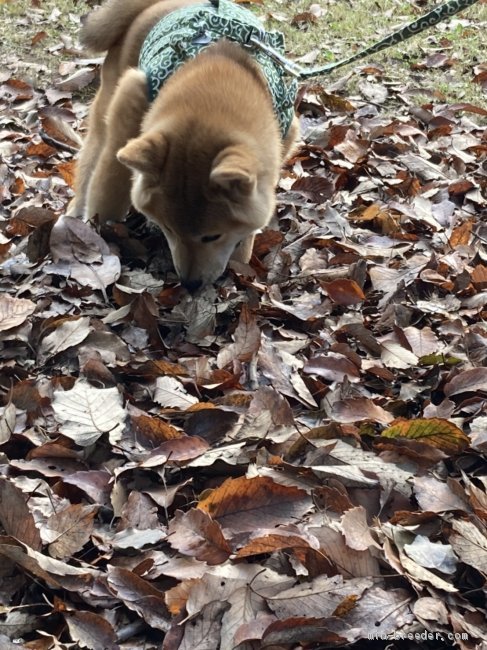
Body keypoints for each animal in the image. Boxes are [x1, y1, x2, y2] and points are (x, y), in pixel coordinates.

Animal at [68, 0, 298, 290]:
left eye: (212, 236)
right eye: (168, 229)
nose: (190, 284)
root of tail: (158, 4)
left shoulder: (284, 136)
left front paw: (242, 256)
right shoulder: (130, 105)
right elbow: (108, 190)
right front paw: (101, 235)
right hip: (105, 113)